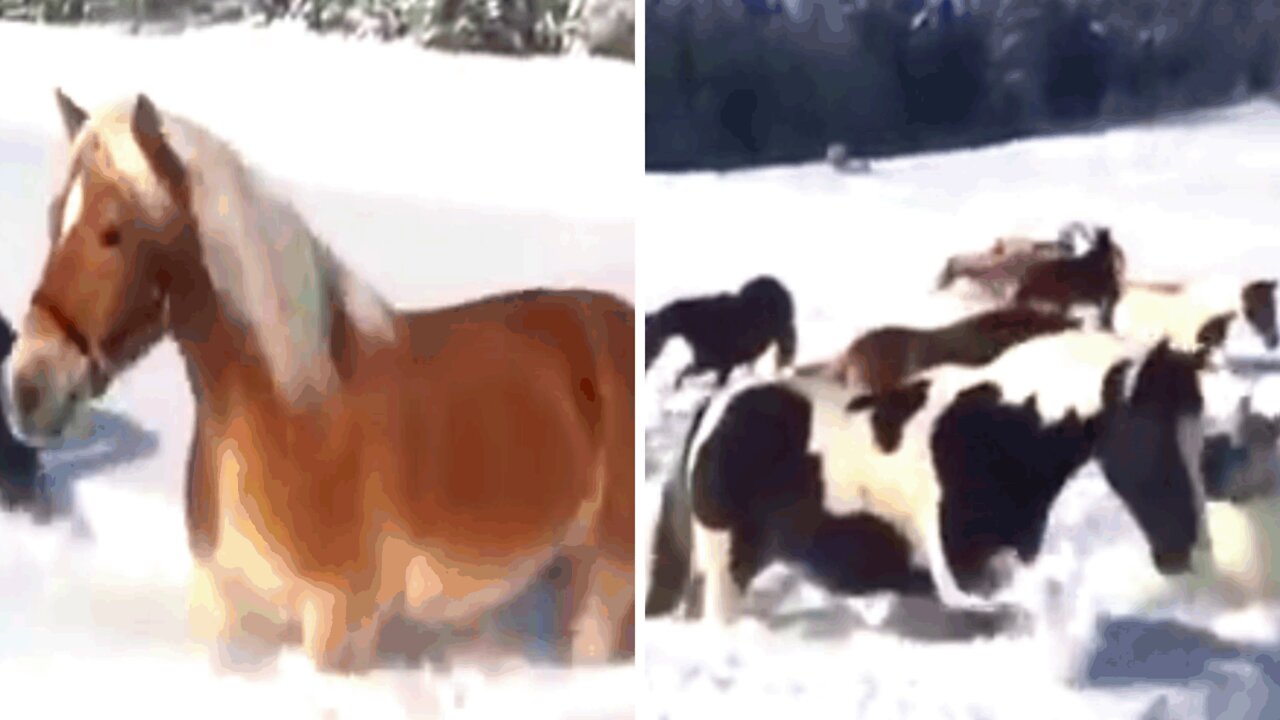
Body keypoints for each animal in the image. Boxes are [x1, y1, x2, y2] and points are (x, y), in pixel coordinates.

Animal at [5, 92, 634, 671]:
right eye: (55, 218)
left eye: (113, 232)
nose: (29, 386)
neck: (295, 413)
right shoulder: (223, 603)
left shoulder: (339, 623)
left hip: (606, 581)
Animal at [645, 272, 793, 386]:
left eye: (650, 334)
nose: (646, 365)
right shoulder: (709, 363)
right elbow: (685, 373)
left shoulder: (718, 364)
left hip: (782, 336)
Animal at [645, 330, 1213, 622]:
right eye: (1152, 438)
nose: (1186, 553)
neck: (997, 433)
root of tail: (715, 409)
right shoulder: (960, 577)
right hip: (725, 568)